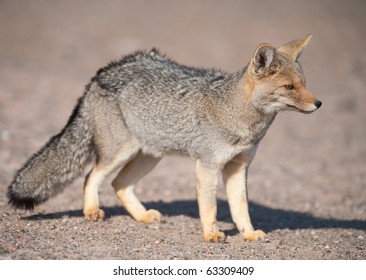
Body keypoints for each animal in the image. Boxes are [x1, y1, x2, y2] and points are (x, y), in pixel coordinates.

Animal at [6, 34, 320, 241]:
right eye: (290, 87)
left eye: (304, 84)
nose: (318, 104)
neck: (239, 116)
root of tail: (104, 71)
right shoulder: (207, 166)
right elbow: (210, 206)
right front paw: (211, 234)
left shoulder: (239, 167)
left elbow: (240, 207)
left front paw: (249, 233)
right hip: (118, 154)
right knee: (91, 177)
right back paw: (92, 210)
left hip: (149, 157)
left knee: (119, 185)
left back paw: (142, 216)